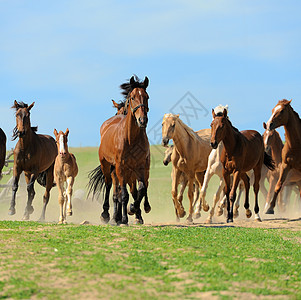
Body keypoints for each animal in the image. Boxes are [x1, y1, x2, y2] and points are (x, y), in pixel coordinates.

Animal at [88, 76, 150, 224]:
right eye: (132, 97)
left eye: (147, 97)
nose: (142, 120)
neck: (131, 139)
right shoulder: (120, 168)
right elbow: (123, 195)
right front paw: (123, 218)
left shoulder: (140, 167)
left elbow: (141, 189)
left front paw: (133, 209)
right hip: (107, 166)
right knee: (109, 186)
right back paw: (106, 214)